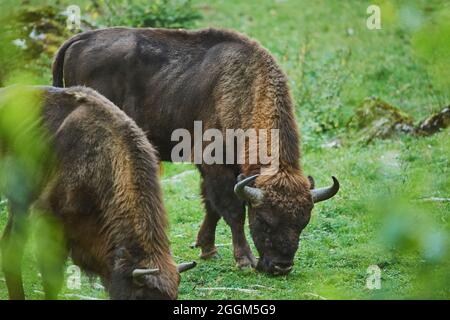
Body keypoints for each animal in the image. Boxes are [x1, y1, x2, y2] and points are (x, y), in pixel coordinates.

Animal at [52, 27, 340, 276]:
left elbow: (211, 207)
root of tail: (80, 39)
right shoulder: (215, 165)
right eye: (264, 221)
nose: (281, 267)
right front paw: (244, 260)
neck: (243, 88)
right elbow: (232, 211)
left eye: (303, 222)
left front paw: (208, 249)